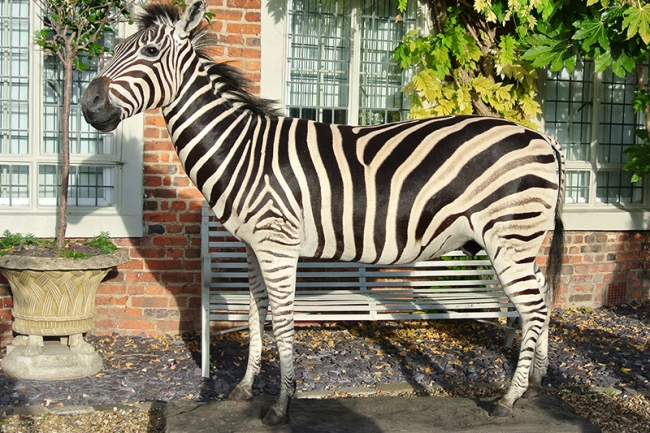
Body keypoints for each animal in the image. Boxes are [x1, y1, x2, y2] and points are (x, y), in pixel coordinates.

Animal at [82, 0, 560, 426]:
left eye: (149, 52)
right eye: (120, 45)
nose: (88, 104)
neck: (243, 151)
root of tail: (543, 138)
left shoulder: (277, 245)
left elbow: (283, 320)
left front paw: (281, 405)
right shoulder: (253, 247)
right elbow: (255, 313)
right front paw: (243, 389)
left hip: (507, 236)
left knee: (532, 305)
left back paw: (509, 399)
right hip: (518, 240)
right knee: (542, 294)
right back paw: (536, 383)